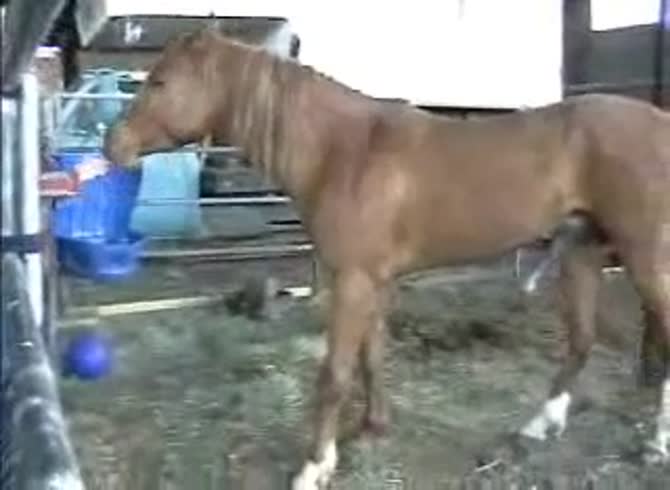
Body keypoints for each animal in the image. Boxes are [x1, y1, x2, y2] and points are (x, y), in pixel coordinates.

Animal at [103, 28, 670, 490]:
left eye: (160, 82)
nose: (113, 145)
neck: (341, 152)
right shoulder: (375, 280)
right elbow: (372, 356)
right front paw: (373, 428)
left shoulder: (352, 281)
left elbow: (334, 373)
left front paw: (315, 466)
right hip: (582, 252)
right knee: (581, 341)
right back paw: (538, 426)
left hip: (645, 259)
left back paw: (654, 444)